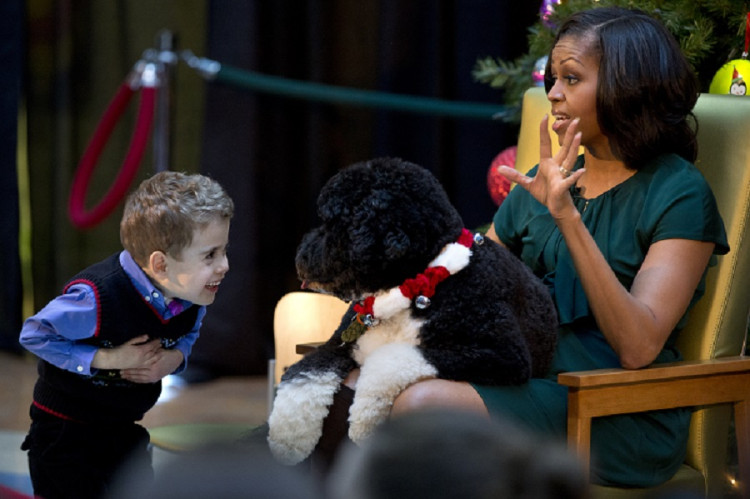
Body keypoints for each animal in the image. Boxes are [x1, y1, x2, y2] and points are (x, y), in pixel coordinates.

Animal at [268, 157, 560, 464]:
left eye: (329, 223)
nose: (300, 259)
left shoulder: (503, 355)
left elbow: (391, 358)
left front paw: (365, 419)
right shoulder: (339, 342)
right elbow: (305, 372)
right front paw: (288, 438)